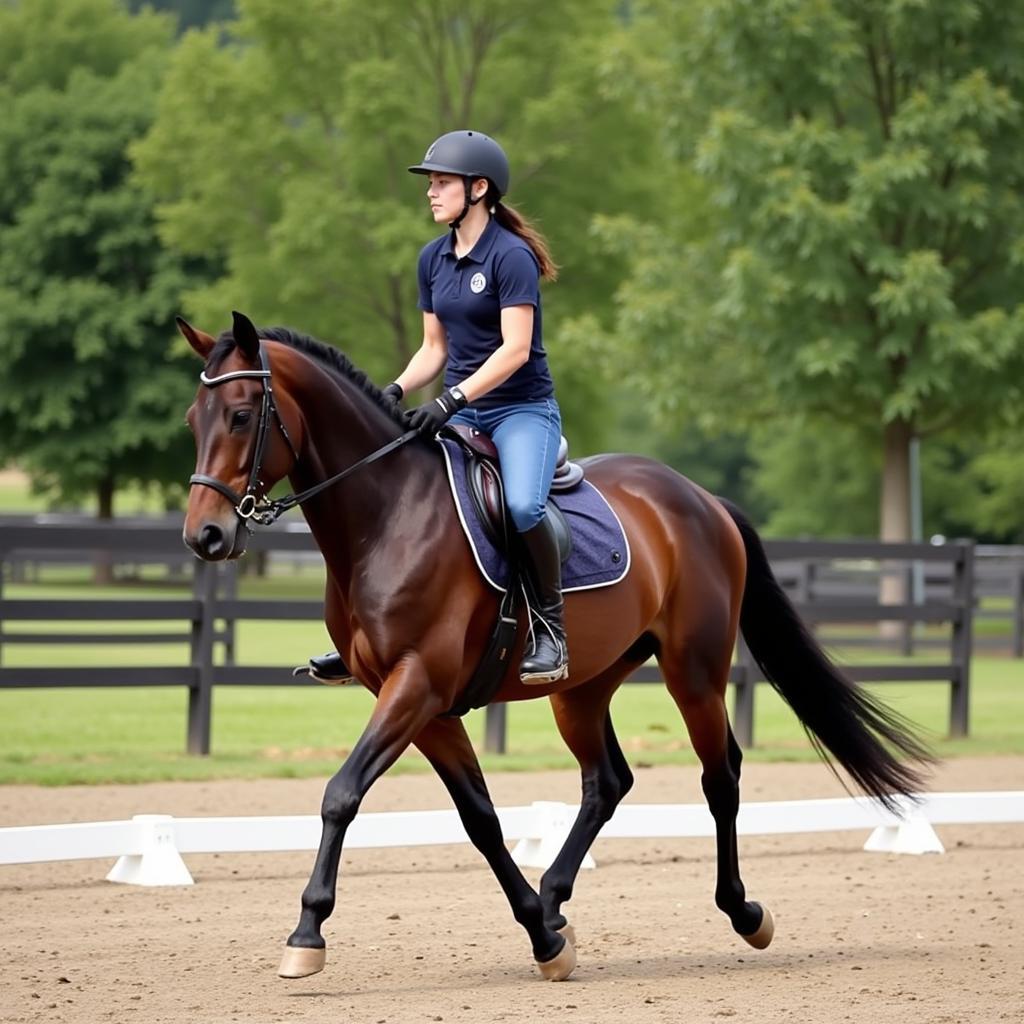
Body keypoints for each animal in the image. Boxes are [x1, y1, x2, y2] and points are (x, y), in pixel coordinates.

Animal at [180, 307, 933, 978]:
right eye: (193, 420)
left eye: (242, 415)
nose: (205, 536)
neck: (389, 514)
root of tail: (701, 499)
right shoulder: (424, 704)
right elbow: (480, 818)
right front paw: (542, 937)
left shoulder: (416, 684)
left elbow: (341, 794)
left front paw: (307, 933)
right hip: (582, 686)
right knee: (607, 781)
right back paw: (554, 901)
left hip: (693, 671)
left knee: (720, 776)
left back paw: (744, 912)